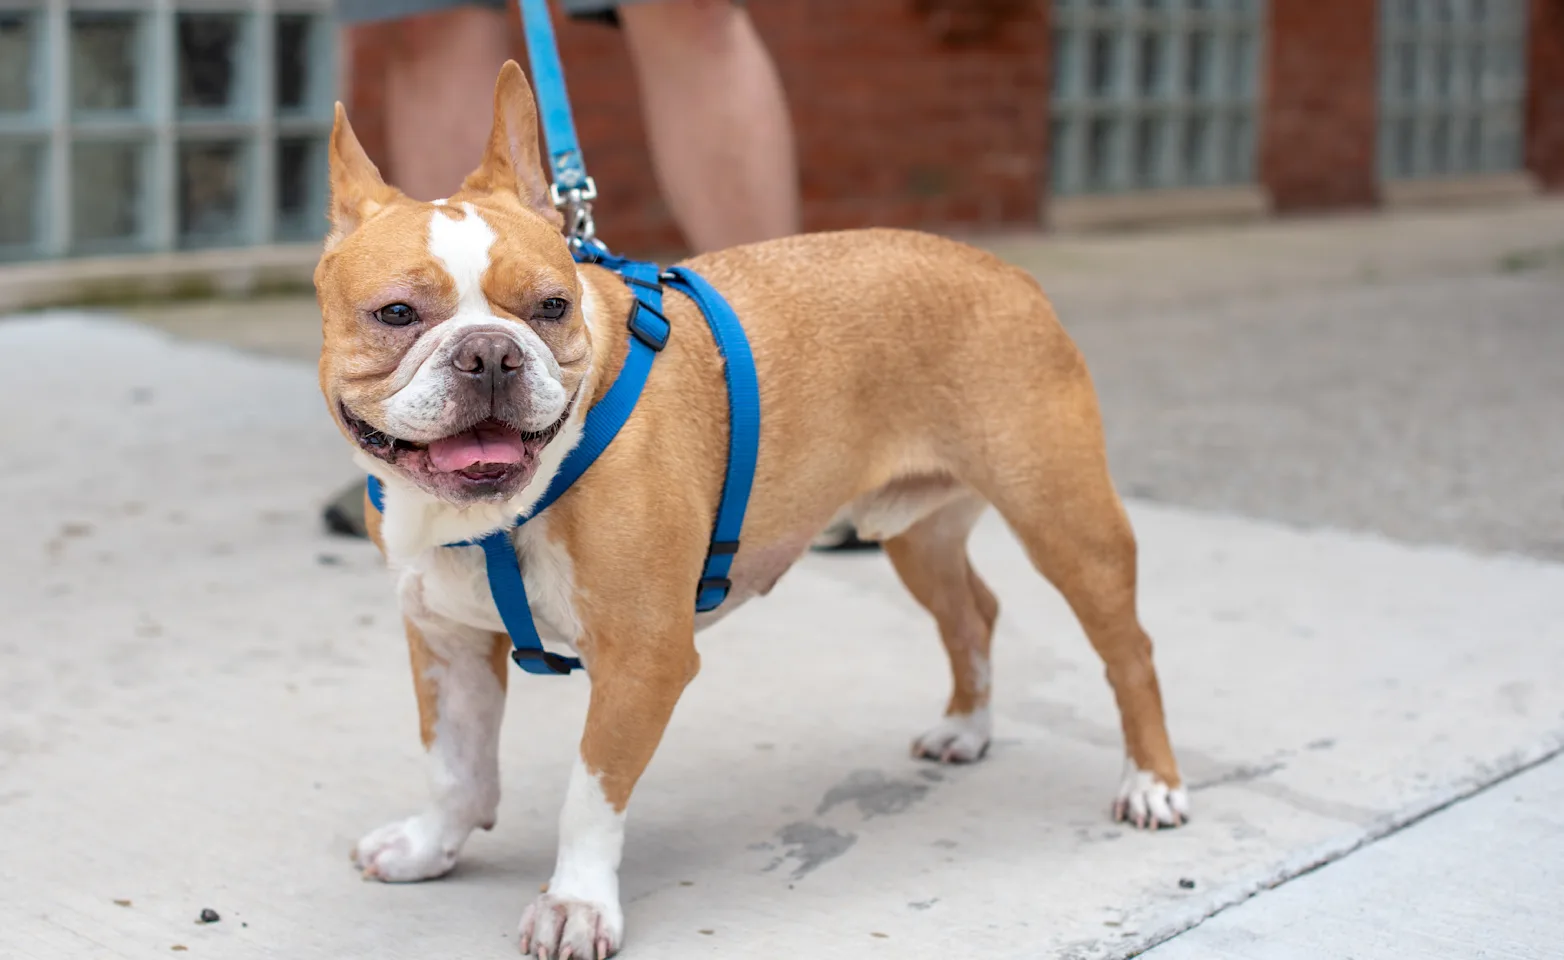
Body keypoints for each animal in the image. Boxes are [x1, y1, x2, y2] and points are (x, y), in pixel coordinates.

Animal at [317, 64, 1182, 956]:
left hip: (1067, 523)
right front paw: (430, 847)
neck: (495, 513)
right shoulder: (445, 639)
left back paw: (1151, 782)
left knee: (1130, 649)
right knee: (971, 613)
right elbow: (454, 765)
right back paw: (968, 729)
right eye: (395, 315)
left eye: (552, 307)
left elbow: (589, 795)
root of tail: (1007, 273)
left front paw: (577, 903)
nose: (490, 353)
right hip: (916, 534)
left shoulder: (643, 662)